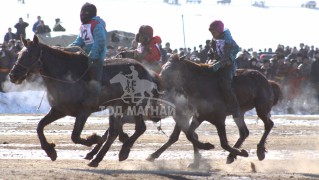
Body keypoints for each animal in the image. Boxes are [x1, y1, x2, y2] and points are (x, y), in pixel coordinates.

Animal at [8, 35, 164, 167]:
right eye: (18, 54)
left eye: (29, 55)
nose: (13, 75)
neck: (66, 77)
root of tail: (148, 72)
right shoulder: (59, 110)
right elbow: (39, 126)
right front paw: (50, 151)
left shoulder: (84, 111)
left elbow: (75, 136)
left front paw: (93, 139)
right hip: (118, 106)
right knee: (114, 132)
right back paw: (97, 158)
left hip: (136, 104)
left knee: (140, 128)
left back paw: (123, 151)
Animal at [145, 55, 282, 167]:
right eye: (163, 68)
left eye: (171, 70)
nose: (158, 83)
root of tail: (268, 82)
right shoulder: (198, 116)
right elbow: (189, 135)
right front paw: (206, 148)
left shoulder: (218, 119)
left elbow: (223, 143)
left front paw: (242, 153)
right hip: (239, 113)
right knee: (244, 132)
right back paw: (231, 156)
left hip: (261, 108)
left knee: (269, 124)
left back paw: (259, 151)